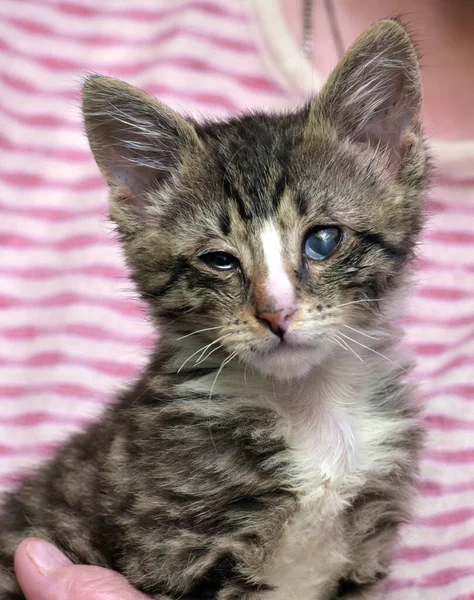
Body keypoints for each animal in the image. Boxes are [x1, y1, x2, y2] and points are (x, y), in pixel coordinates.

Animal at [0, 19, 430, 600]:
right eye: (220, 260)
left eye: (322, 240)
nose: (277, 313)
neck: (311, 411)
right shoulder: (179, 546)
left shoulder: (366, 542)